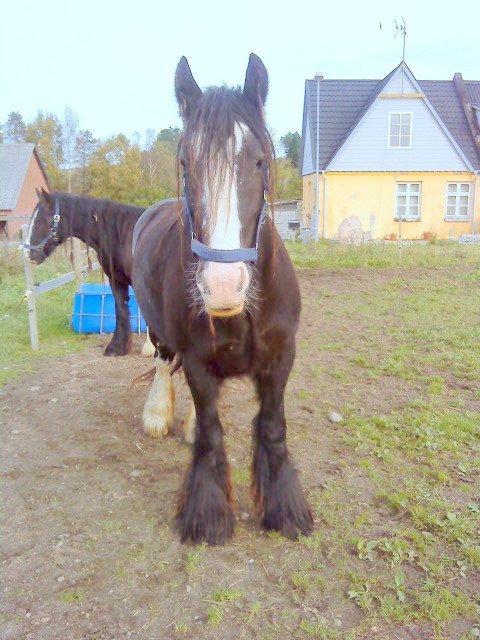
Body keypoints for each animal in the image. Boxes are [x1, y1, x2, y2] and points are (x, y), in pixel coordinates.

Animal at [25, 190, 155, 358]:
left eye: (44, 218)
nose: (29, 253)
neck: (125, 234)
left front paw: (150, 347)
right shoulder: (116, 279)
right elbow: (120, 309)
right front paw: (118, 347)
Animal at [132, 55, 312, 544]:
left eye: (259, 162)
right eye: (185, 164)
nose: (224, 285)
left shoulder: (281, 358)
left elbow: (272, 427)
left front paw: (284, 508)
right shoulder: (196, 360)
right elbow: (211, 433)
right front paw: (208, 515)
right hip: (158, 330)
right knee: (162, 362)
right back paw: (158, 414)